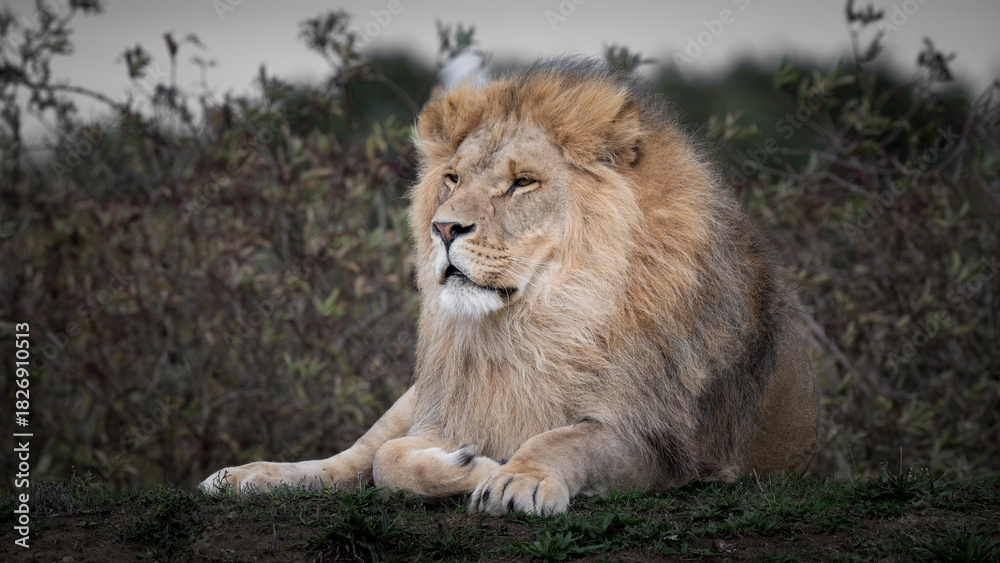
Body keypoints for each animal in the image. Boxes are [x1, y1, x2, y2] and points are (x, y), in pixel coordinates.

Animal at [201, 59, 820, 516]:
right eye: (452, 179)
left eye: (522, 183)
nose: (444, 228)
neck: (531, 326)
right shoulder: (448, 412)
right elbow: (387, 463)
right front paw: (473, 466)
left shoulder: (662, 443)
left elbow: (563, 438)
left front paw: (515, 479)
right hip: (423, 394)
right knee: (353, 457)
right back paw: (243, 477)